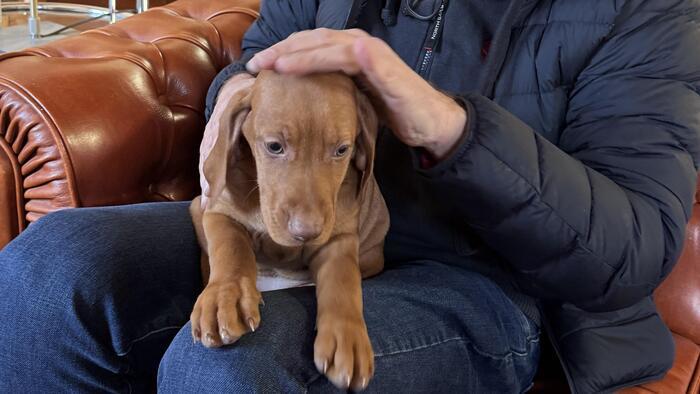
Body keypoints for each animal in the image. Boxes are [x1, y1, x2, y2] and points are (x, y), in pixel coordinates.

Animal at [189, 71, 392, 390]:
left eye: (342, 150)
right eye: (274, 146)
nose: (306, 231)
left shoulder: (340, 238)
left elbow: (342, 279)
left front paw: (347, 336)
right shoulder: (215, 209)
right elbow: (230, 246)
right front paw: (225, 296)